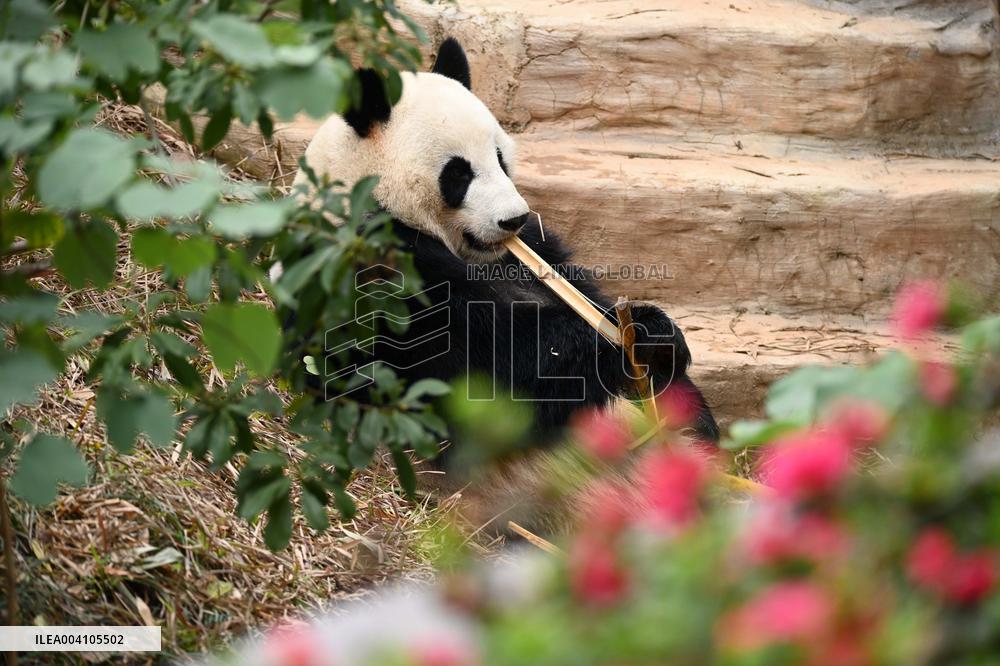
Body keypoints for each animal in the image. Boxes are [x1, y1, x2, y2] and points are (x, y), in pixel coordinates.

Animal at [293, 38, 719, 452]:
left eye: (499, 157)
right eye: (458, 173)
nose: (513, 219)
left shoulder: (535, 250)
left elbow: (581, 294)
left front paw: (657, 337)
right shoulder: (380, 271)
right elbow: (487, 369)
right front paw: (622, 342)